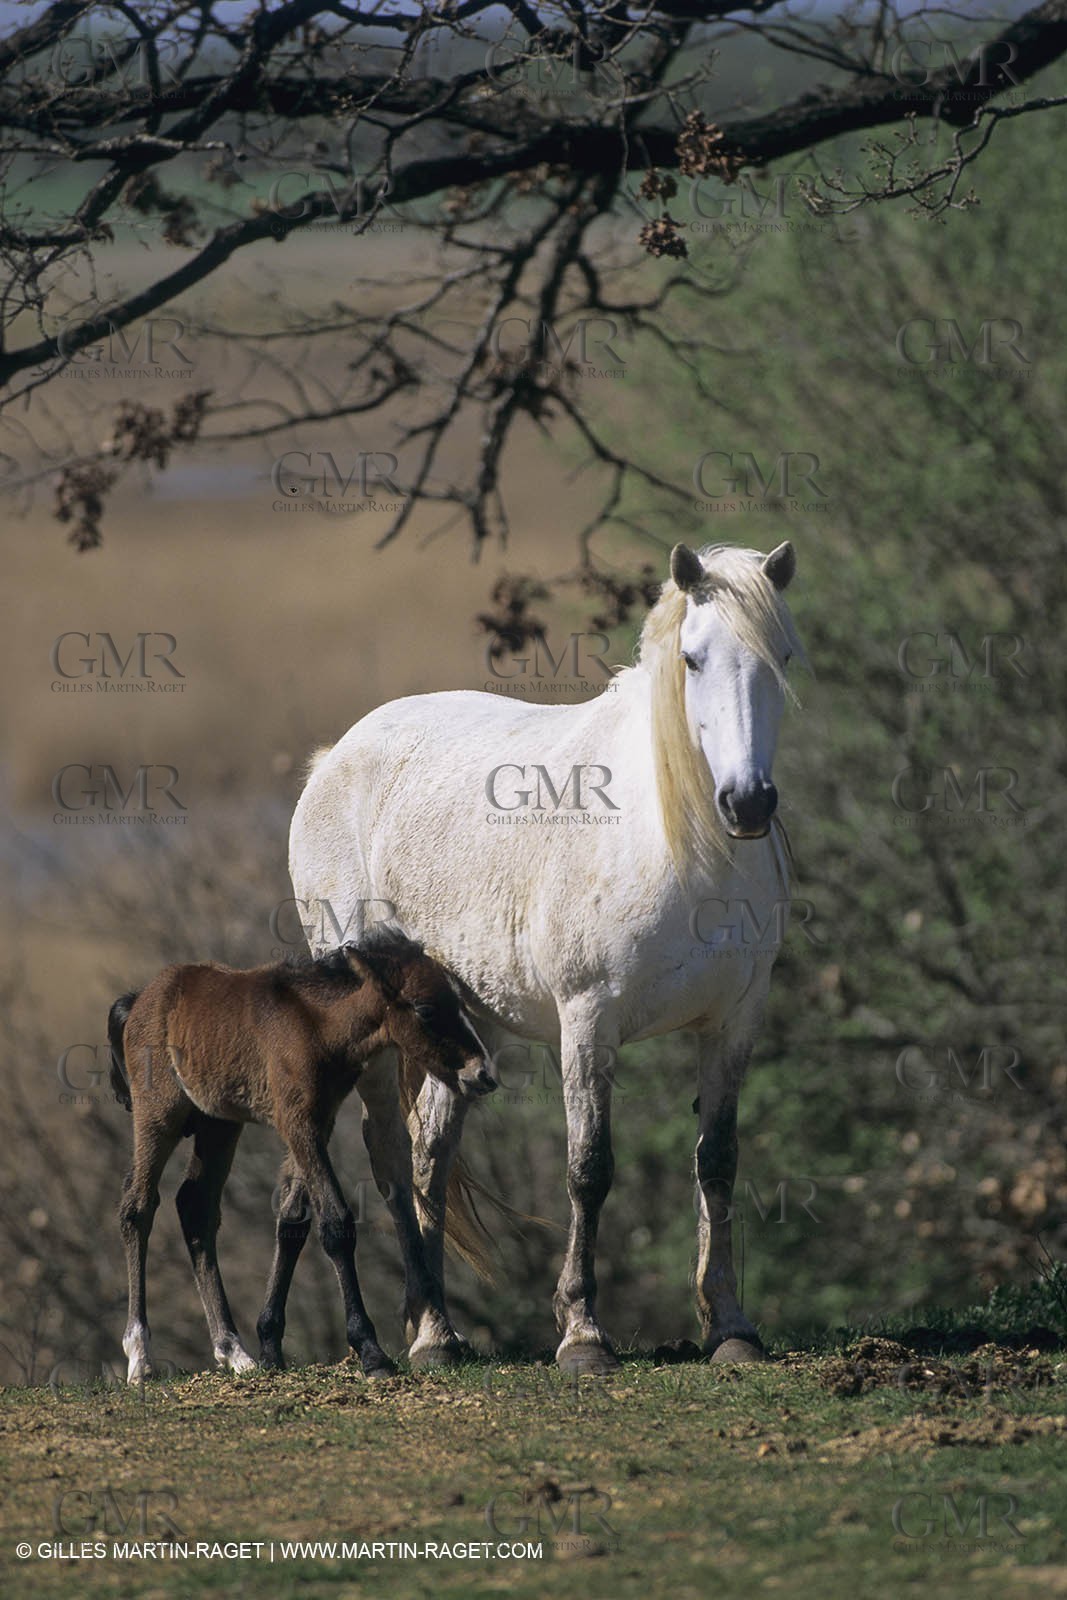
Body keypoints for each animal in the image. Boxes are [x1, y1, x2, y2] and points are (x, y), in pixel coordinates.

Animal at [108, 929, 496, 1383]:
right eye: (426, 1008)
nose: (483, 1074)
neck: (316, 1025)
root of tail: (140, 998)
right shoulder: (298, 1123)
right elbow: (335, 1224)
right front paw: (371, 1351)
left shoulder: (317, 1122)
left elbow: (293, 1222)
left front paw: (270, 1347)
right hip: (159, 1113)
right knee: (137, 1206)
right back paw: (140, 1356)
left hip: (218, 1123)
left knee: (196, 1205)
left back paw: (234, 1350)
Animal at [289, 540, 806, 1372]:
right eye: (691, 659)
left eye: (781, 656)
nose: (748, 802)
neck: (675, 847)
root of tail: (337, 757)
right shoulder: (587, 1021)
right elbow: (588, 1168)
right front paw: (582, 1335)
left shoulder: (733, 1022)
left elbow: (718, 1162)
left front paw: (729, 1328)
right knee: (391, 1155)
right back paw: (425, 1331)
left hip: (459, 1024)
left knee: (431, 1148)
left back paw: (438, 1332)